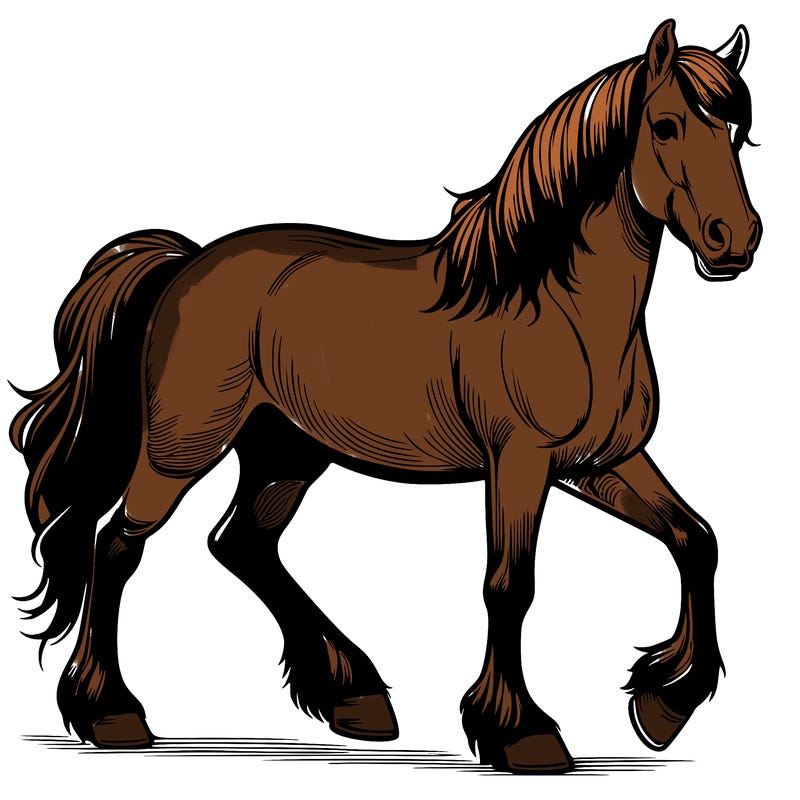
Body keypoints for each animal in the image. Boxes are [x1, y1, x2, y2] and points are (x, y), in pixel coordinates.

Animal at [10, 20, 761, 773]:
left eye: (736, 131)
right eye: (665, 125)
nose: (737, 240)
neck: (555, 305)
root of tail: (185, 263)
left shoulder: (600, 464)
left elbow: (696, 539)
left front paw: (664, 706)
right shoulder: (520, 463)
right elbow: (509, 585)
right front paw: (522, 732)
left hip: (286, 453)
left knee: (242, 543)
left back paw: (354, 696)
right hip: (182, 447)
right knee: (118, 545)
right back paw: (112, 714)